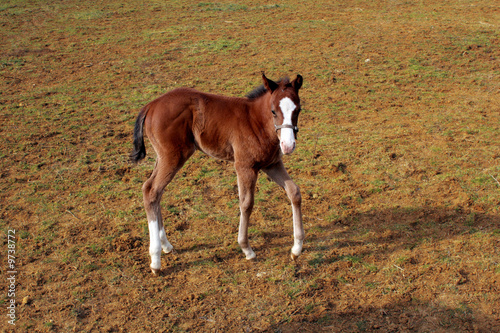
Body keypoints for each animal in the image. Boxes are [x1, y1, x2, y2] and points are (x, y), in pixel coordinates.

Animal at [131, 74, 304, 274]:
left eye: (298, 109)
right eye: (273, 111)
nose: (288, 146)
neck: (257, 122)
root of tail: (151, 104)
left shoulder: (272, 164)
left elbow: (294, 192)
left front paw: (296, 249)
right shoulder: (244, 166)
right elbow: (246, 204)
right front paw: (246, 249)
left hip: (164, 158)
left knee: (154, 191)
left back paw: (166, 246)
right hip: (172, 157)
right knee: (151, 191)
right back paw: (156, 260)